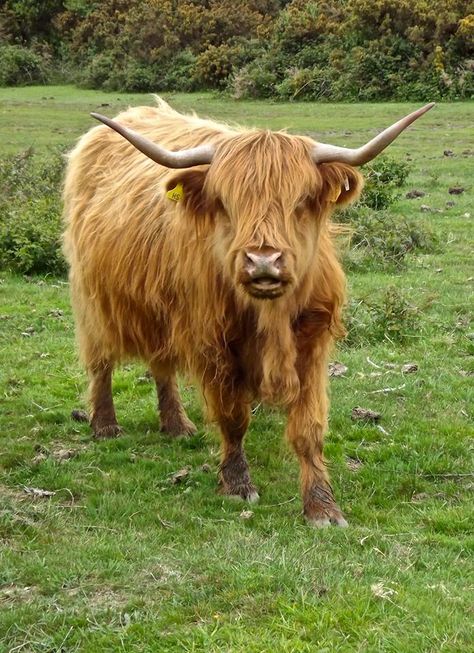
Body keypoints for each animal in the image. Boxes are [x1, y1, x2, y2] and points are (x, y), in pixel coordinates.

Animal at [63, 98, 434, 524]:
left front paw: (322, 505)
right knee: (101, 361)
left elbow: (309, 427)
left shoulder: (312, 340)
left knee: (162, 364)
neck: (269, 317)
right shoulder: (212, 342)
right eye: (226, 203)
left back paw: (176, 424)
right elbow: (233, 417)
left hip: (164, 308)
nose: (263, 261)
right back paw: (106, 425)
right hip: (92, 298)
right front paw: (238, 484)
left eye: (300, 201)